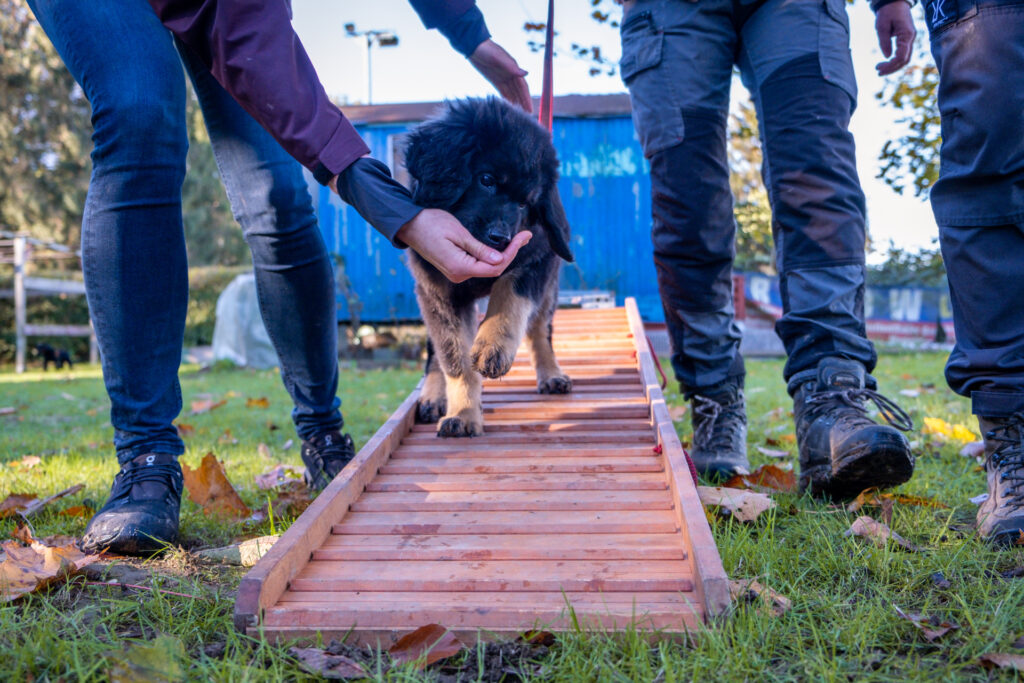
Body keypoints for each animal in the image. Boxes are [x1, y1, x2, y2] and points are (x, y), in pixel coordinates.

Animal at [401, 97, 577, 438]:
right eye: (487, 180)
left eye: (525, 203)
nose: (500, 239)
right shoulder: (437, 288)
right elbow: (454, 358)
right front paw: (464, 413)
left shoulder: (535, 258)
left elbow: (510, 298)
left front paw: (492, 345)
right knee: (435, 351)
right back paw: (433, 395)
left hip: (549, 286)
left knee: (540, 328)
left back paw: (551, 373)